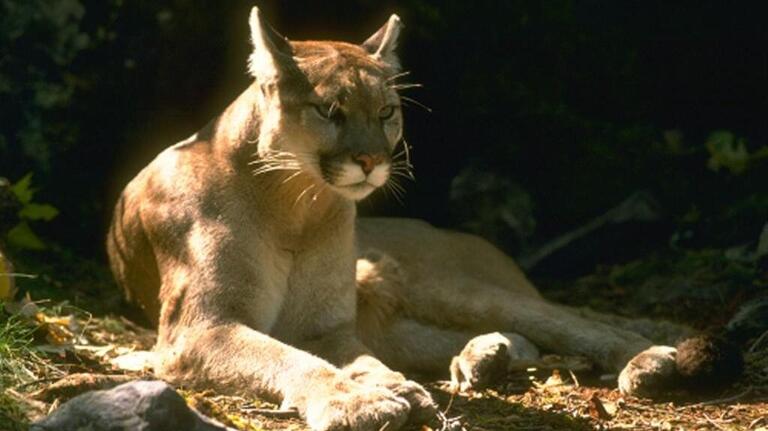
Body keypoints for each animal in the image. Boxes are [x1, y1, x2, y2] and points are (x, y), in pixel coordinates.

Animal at [107, 7, 694, 430]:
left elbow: (342, 359)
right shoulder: (200, 328)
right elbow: (290, 359)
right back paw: (485, 357)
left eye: (386, 112)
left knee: (571, 321)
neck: (296, 205)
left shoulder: (322, 326)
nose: (370, 161)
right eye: (330, 111)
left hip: (440, 283)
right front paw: (366, 399)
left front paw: (385, 390)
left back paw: (648, 360)